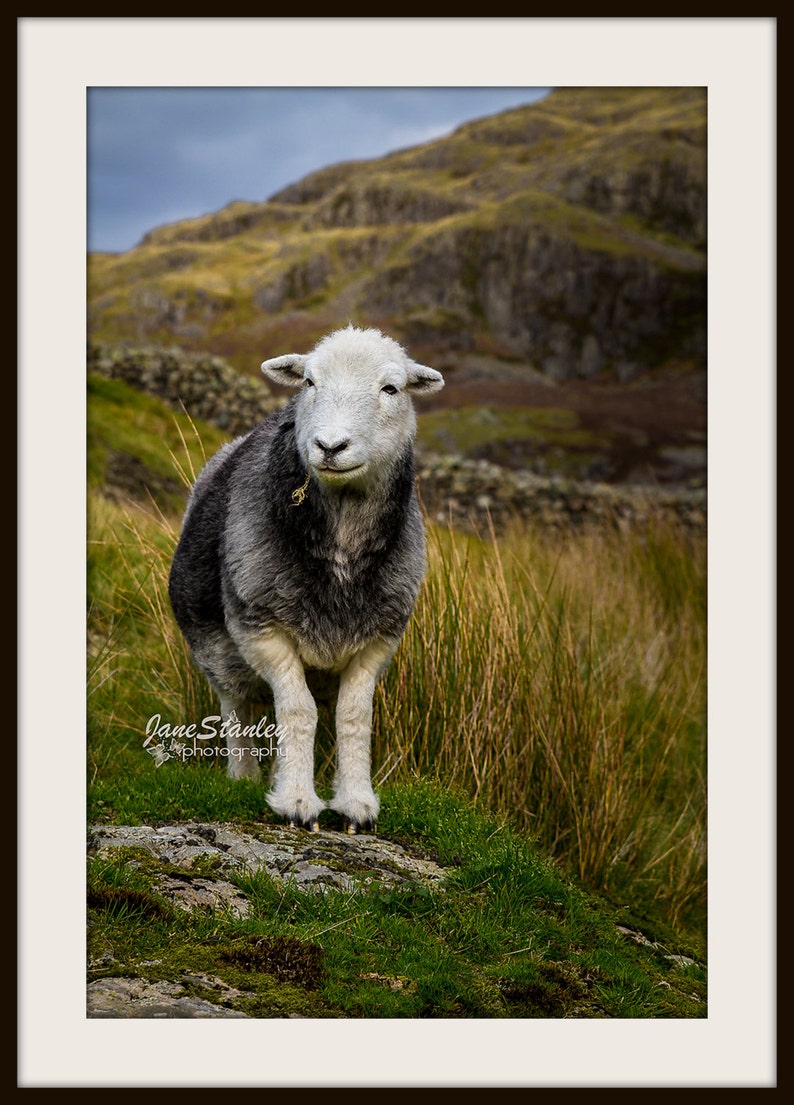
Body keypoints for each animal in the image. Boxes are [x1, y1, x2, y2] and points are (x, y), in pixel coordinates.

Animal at [168, 326, 444, 833]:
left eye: (391, 389)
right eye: (310, 382)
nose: (330, 446)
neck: (341, 550)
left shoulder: (379, 639)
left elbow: (353, 715)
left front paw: (356, 804)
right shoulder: (260, 626)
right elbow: (298, 710)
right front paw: (296, 800)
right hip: (218, 651)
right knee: (237, 706)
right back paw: (244, 777)